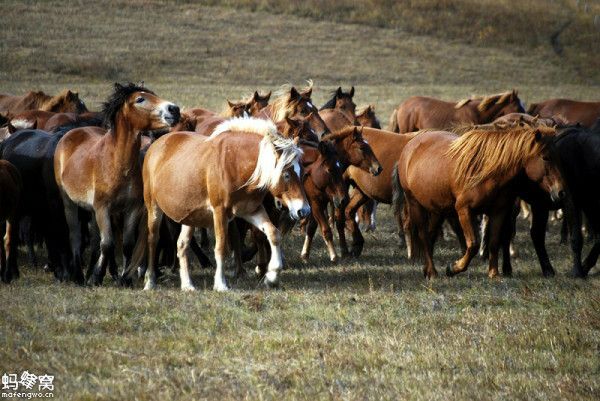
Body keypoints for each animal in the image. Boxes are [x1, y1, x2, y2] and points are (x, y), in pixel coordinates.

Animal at [54, 82, 178, 284]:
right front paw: (97, 277)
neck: (117, 164)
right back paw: (80, 276)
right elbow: (108, 244)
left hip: (93, 212)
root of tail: (72, 132)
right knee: (76, 237)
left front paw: (124, 278)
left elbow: (126, 244)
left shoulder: (131, 208)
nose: (174, 109)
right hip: (70, 203)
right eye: (140, 99)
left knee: (95, 240)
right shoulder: (102, 208)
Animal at [137, 117, 310, 290]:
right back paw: (150, 281)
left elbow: (273, 234)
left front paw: (272, 276)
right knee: (152, 240)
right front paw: (220, 283)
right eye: (286, 174)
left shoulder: (252, 210)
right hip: (153, 207)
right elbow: (221, 247)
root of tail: (156, 145)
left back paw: (187, 285)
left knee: (182, 244)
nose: (304, 210)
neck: (235, 163)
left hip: (190, 217)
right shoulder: (219, 211)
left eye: (302, 172)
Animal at [396, 125, 564, 278]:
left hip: (438, 209)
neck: (485, 173)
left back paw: (427, 269)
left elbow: (494, 242)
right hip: (414, 203)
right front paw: (454, 268)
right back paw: (432, 272)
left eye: (558, 156)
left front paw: (494, 273)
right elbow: (473, 245)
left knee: (431, 235)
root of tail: (411, 144)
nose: (560, 192)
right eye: (545, 157)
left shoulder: (498, 212)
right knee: (424, 236)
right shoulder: (464, 211)